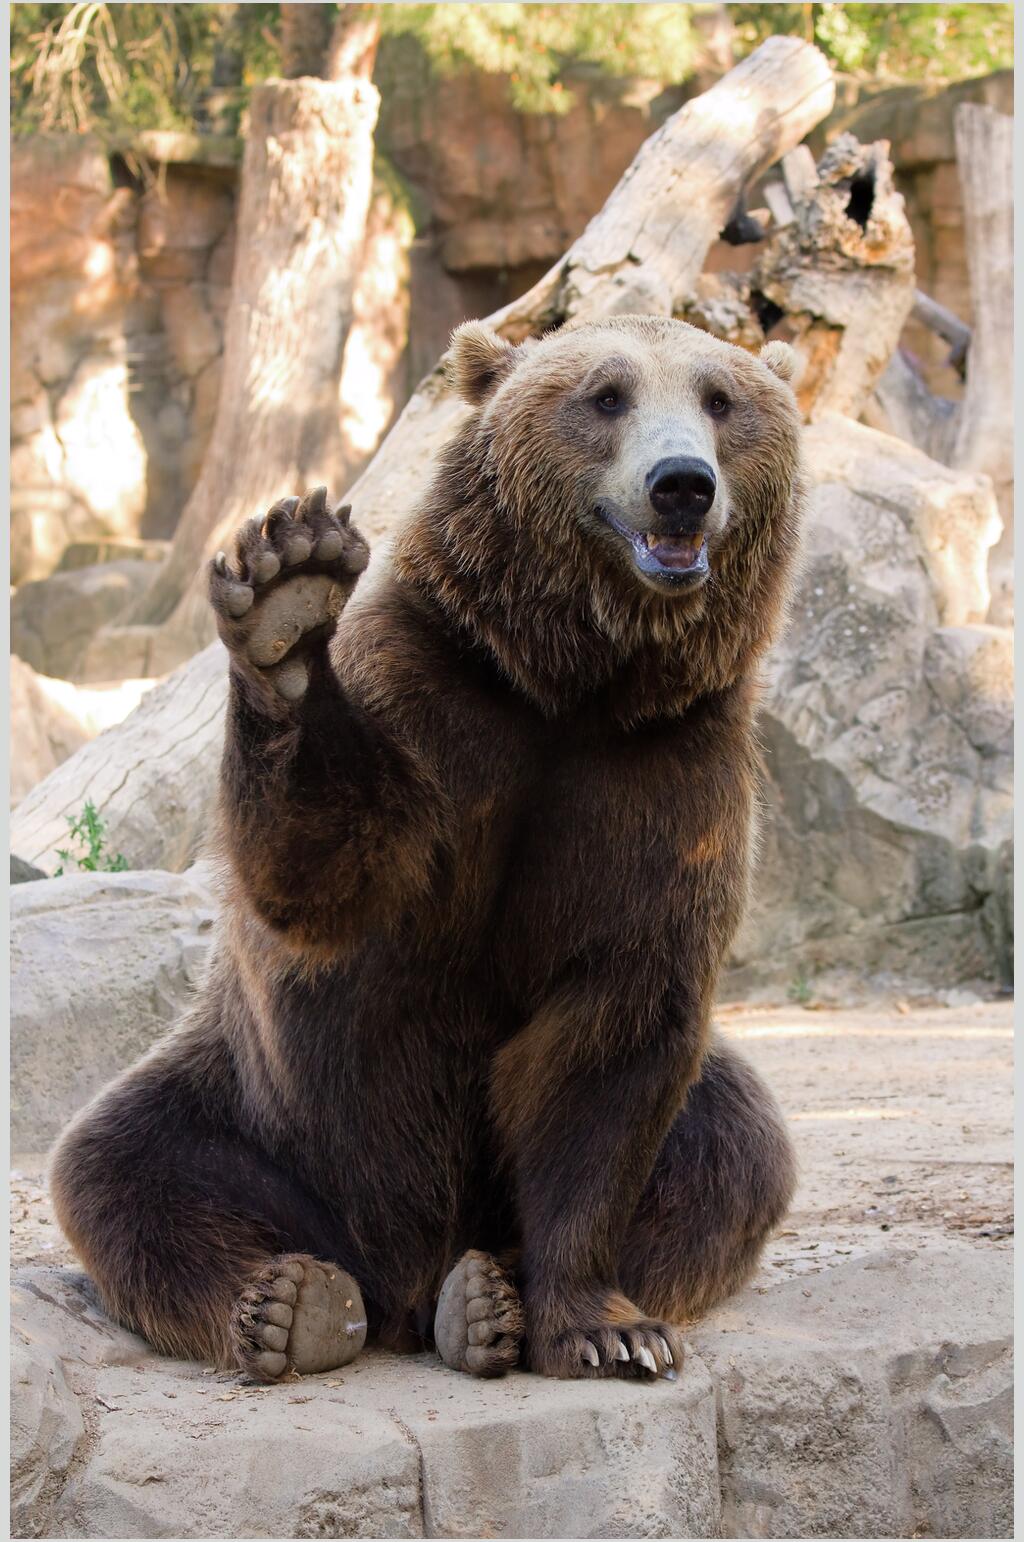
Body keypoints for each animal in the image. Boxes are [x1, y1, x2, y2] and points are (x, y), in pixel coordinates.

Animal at [51, 314, 802, 1385]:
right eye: (606, 395)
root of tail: (397, 1284)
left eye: (721, 399)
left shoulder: (668, 770)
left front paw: (607, 1328)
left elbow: (616, 1034)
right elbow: (327, 876)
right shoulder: (434, 699)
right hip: (260, 1109)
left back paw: (483, 1297)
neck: (574, 683)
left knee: (734, 1154)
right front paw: (287, 601)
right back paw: (291, 1305)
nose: (682, 484)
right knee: (122, 1166)